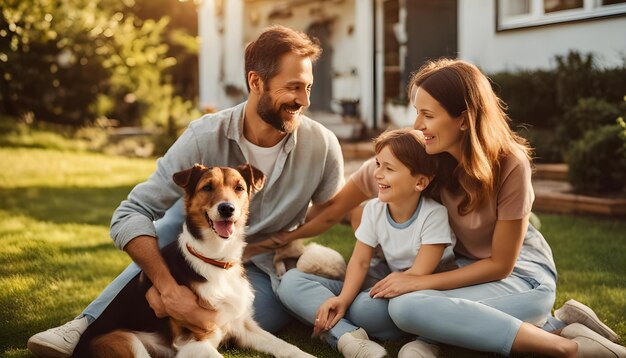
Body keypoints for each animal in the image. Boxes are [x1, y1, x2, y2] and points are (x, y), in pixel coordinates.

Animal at [75, 164, 314, 358]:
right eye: (207, 187)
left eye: (239, 188)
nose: (227, 209)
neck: (216, 259)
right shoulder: (193, 342)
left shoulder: (241, 325)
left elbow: (286, 346)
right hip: (125, 340)